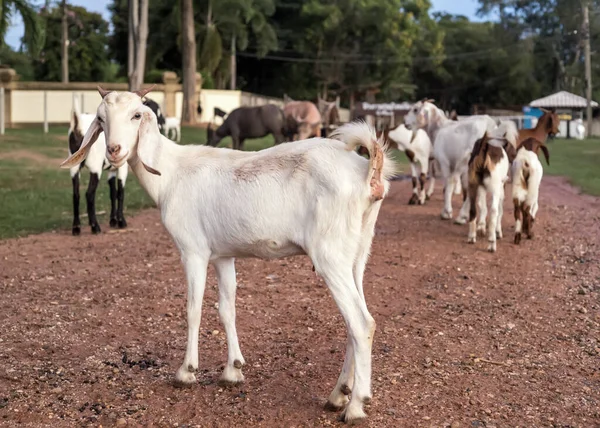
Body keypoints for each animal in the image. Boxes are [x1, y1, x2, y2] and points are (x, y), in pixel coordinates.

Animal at [67, 100, 128, 236]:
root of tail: (78, 126)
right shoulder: (123, 167)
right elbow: (120, 192)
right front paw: (121, 221)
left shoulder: (111, 170)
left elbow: (113, 192)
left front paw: (113, 220)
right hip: (95, 167)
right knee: (89, 194)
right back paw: (95, 227)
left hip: (74, 167)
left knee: (75, 194)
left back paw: (76, 228)